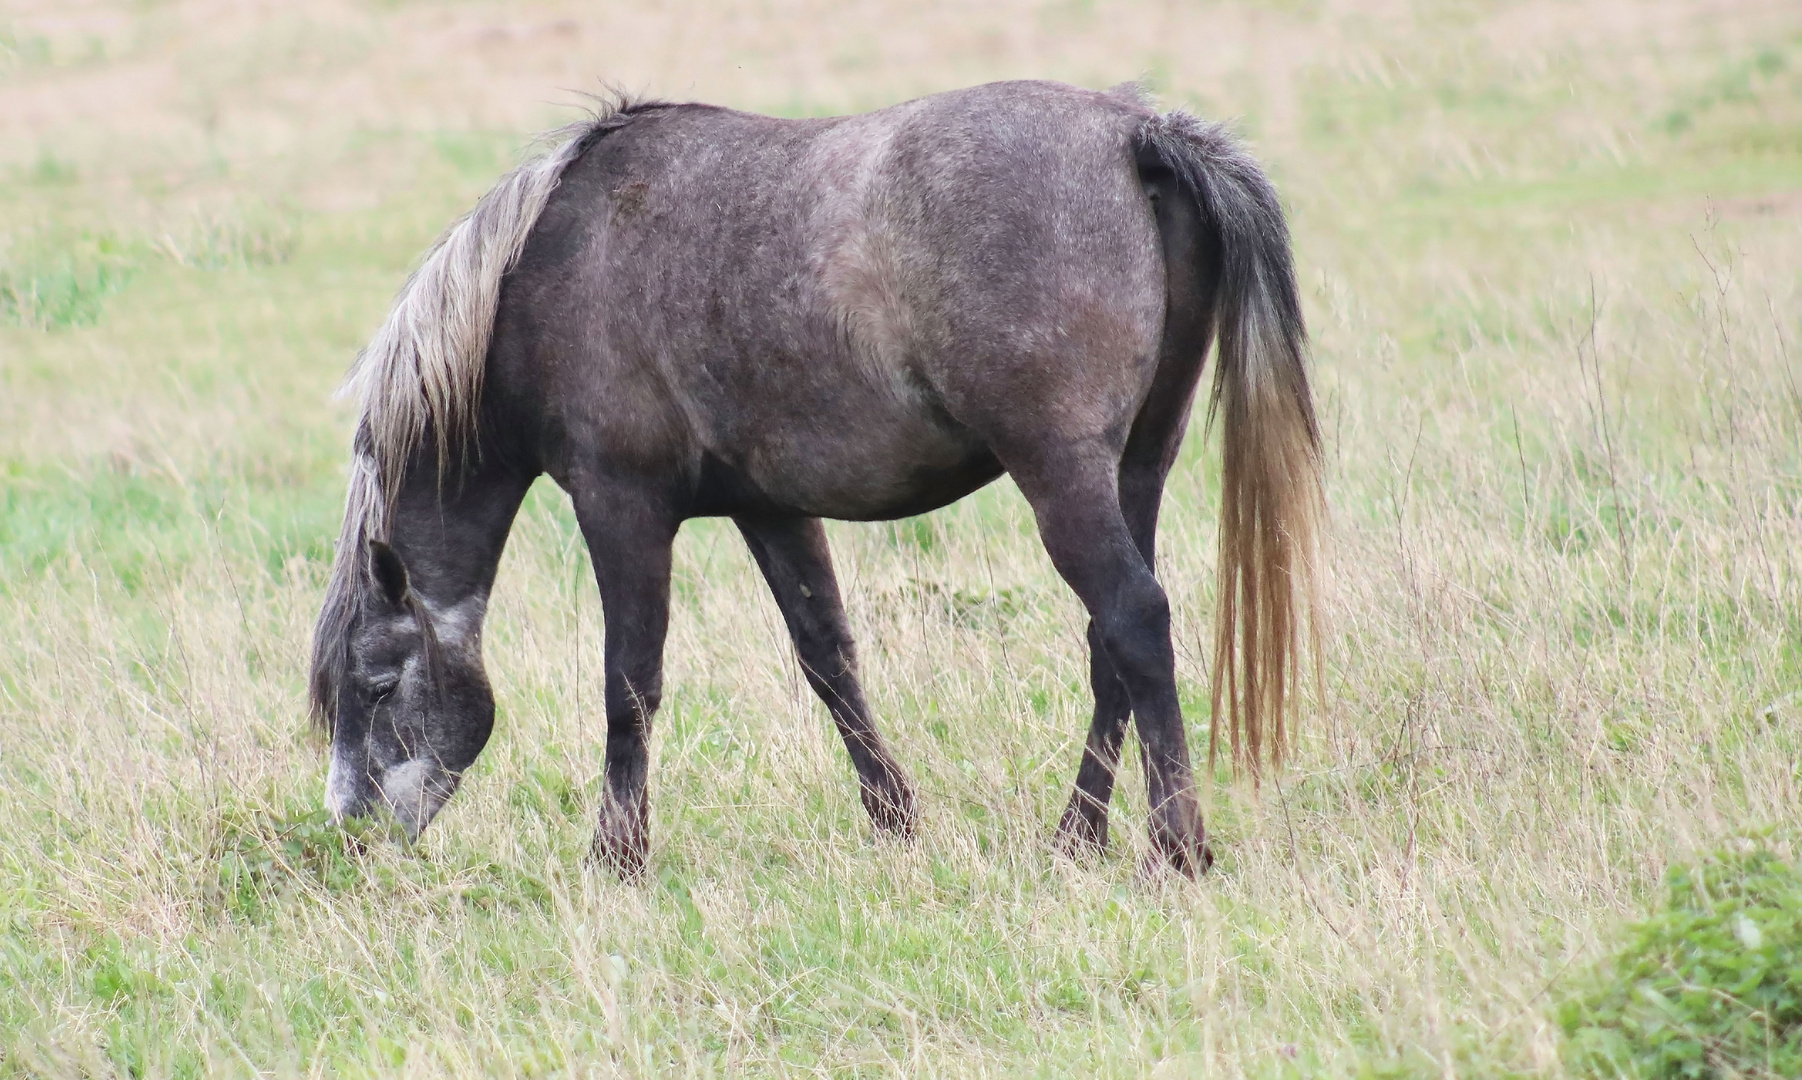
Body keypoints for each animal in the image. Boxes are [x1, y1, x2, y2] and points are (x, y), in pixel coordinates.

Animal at [306, 77, 1326, 879]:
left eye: (377, 685)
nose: (352, 834)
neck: (549, 270)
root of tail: (1134, 134)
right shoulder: (771, 510)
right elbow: (828, 658)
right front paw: (895, 819)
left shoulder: (620, 506)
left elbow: (629, 682)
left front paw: (616, 856)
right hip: (1136, 469)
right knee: (1109, 646)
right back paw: (1076, 836)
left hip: (1062, 474)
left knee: (1133, 620)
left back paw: (1175, 848)